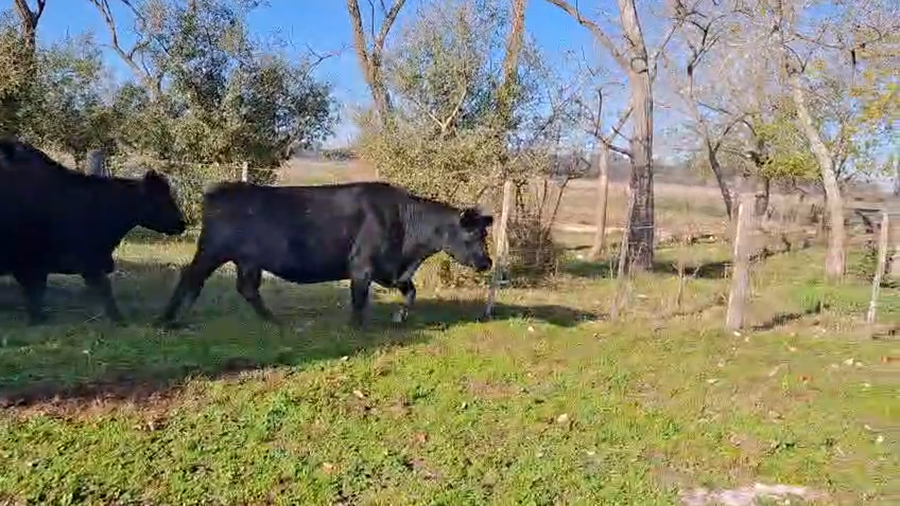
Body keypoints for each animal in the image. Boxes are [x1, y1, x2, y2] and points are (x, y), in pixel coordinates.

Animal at [157, 181, 494, 327]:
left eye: (486, 234)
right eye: (473, 234)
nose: (487, 261)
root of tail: (218, 191)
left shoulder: (391, 271)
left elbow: (410, 292)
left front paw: (399, 317)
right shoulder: (362, 266)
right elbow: (359, 299)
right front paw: (356, 327)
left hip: (247, 260)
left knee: (247, 288)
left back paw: (273, 321)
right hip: (212, 250)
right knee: (191, 277)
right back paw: (167, 318)